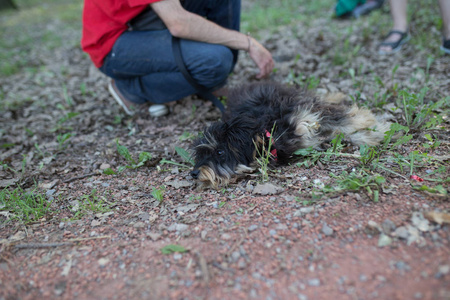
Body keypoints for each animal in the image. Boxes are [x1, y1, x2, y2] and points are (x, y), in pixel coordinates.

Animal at [190, 82, 390, 189]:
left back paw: (336, 96)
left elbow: (343, 119)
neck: (271, 131)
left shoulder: (304, 113)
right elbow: (339, 134)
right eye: (200, 155)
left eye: (220, 152)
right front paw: (371, 135)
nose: (193, 173)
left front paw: (376, 125)